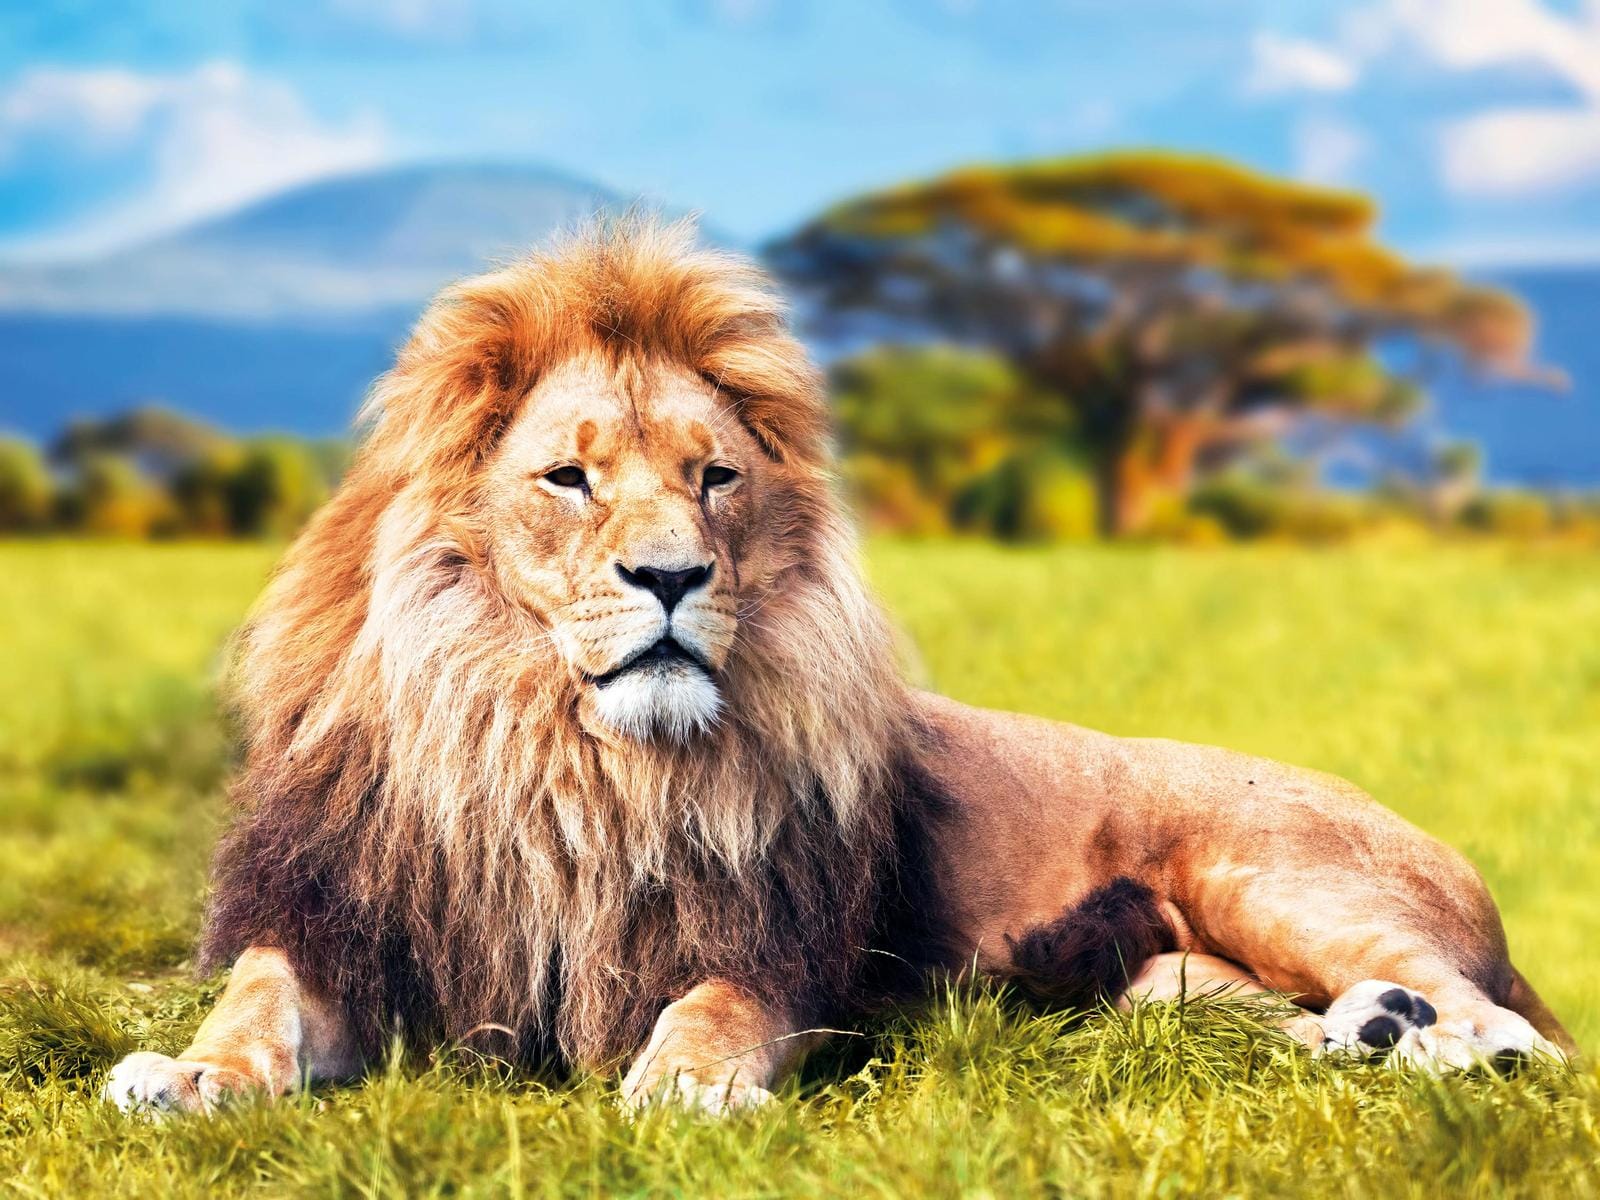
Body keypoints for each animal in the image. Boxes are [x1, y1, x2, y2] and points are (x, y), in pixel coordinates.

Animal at [105, 220, 1573, 1117]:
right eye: (569, 478)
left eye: (714, 478)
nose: (672, 579)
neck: (560, 758)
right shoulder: (343, 921)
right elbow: (254, 1003)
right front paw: (184, 1077)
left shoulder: (773, 949)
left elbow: (711, 1008)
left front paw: (683, 1086)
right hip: (1162, 980)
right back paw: (1369, 1035)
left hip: (1270, 871)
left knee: (1512, 1029)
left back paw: (1447, 1048)